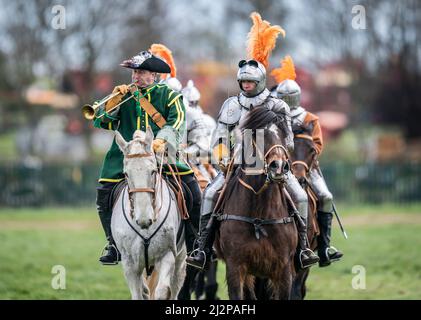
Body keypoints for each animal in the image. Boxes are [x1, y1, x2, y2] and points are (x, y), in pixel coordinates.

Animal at [111, 128, 185, 300]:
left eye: (153, 171)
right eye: (126, 174)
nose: (144, 220)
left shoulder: (167, 256)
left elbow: (162, 291)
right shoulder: (129, 263)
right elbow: (139, 294)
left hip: (180, 257)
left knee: (175, 285)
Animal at [215, 107, 296, 300]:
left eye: (284, 133)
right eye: (260, 134)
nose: (279, 166)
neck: (260, 215)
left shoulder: (284, 270)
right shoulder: (235, 268)